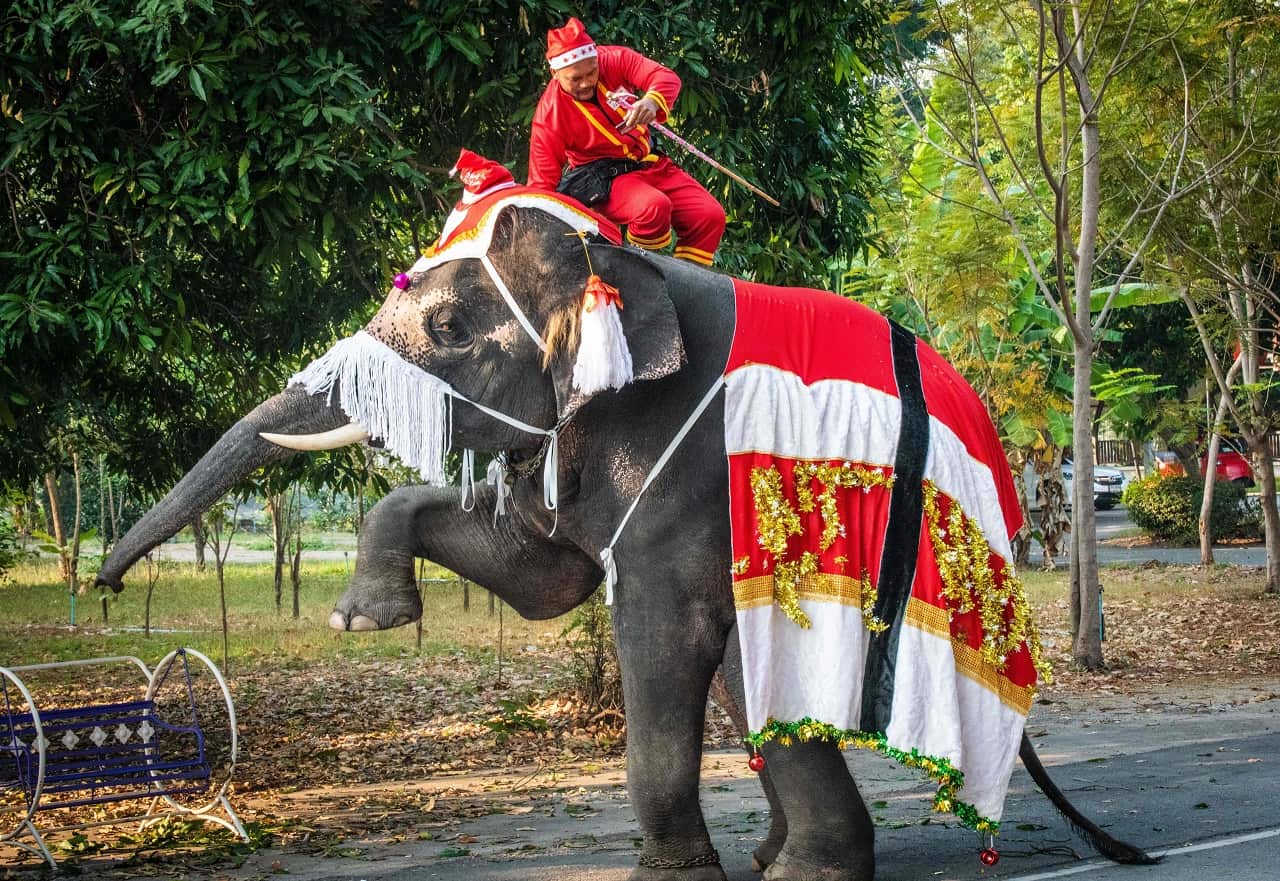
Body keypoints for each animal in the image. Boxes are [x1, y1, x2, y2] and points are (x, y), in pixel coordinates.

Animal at [97, 190, 1153, 880]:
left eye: (447, 327)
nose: (105, 585)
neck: (607, 259)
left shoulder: (678, 452)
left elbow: (656, 621)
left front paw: (671, 876)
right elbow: (538, 578)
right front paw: (366, 619)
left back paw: (803, 872)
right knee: (745, 671)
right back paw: (777, 859)